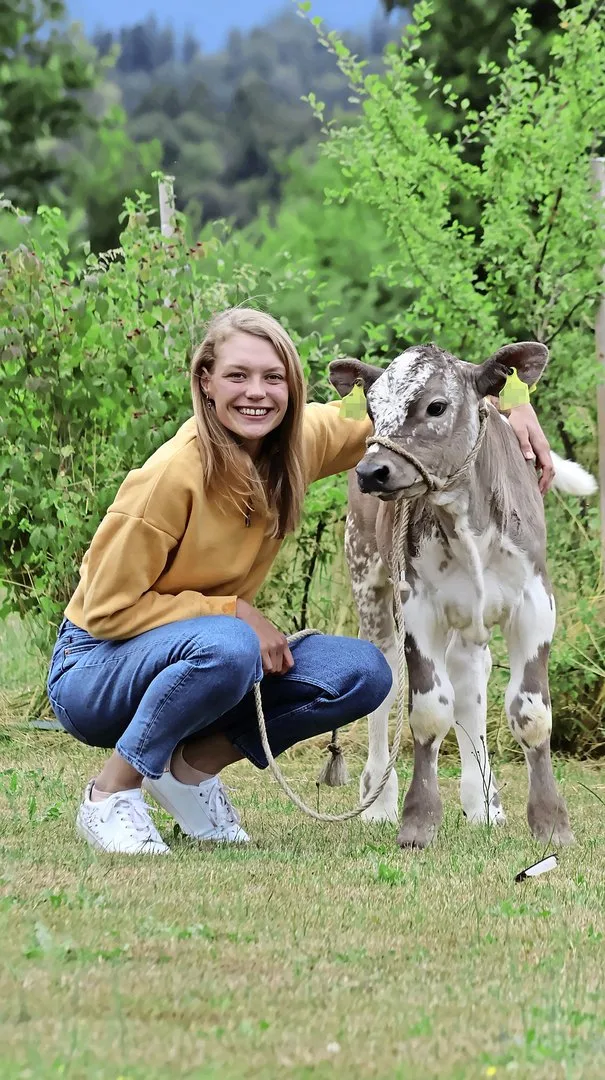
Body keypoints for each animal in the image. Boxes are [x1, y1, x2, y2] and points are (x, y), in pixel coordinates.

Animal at [329, 341, 597, 849]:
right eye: (372, 409)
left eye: (436, 406)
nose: (372, 471)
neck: (467, 524)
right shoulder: (417, 606)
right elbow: (429, 712)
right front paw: (418, 820)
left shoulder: (536, 604)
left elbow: (531, 713)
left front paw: (552, 823)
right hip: (367, 581)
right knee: (386, 685)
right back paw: (378, 801)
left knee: (471, 682)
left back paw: (483, 802)